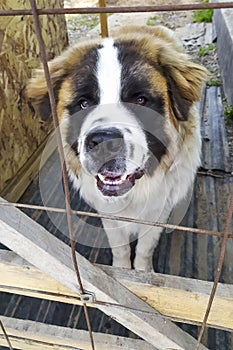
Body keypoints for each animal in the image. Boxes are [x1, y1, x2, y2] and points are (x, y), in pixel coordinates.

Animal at [27, 26, 206, 272]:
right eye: (84, 103)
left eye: (140, 100)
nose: (105, 143)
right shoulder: (108, 213)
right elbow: (119, 246)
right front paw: (122, 270)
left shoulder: (156, 213)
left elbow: (144, 249)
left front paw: (142, 274)